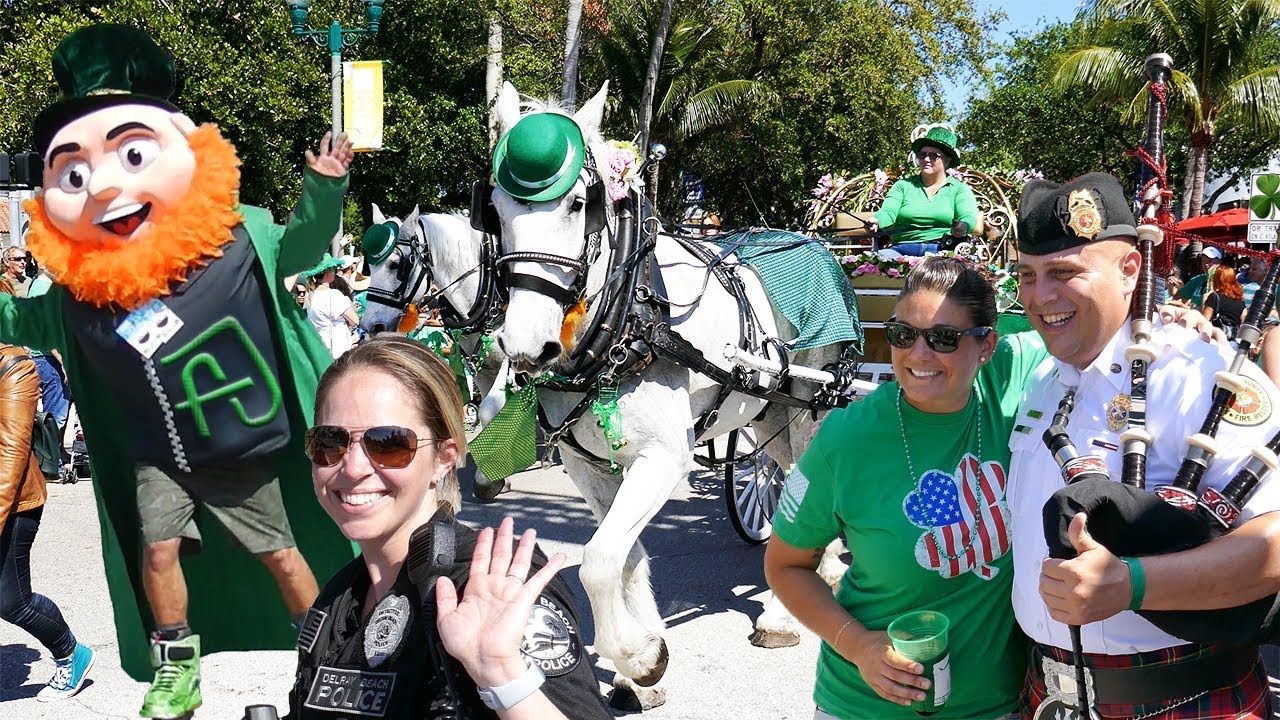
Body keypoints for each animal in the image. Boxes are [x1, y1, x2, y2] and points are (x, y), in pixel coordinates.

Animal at [488, 81, 849, 702]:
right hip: (770, 417)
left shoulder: (663, 457)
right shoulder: (589, 466)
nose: (527, 345)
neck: (629, 316)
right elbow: (626, 555)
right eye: (495, 206)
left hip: (811, 410)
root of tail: (822, 248)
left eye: (579, 204)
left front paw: (636, 656)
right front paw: (645, 659)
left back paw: (785, 614)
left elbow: (599, 559)